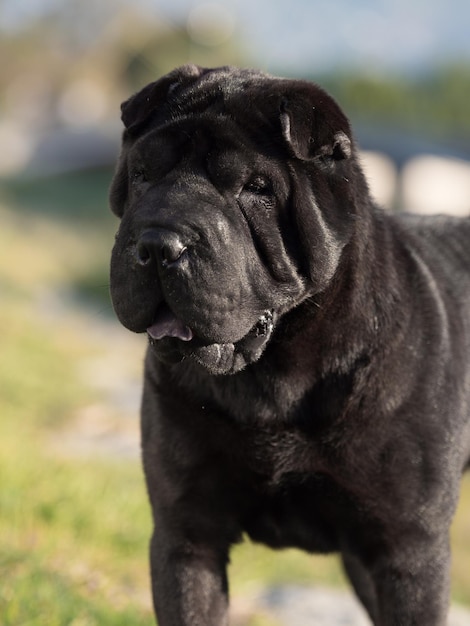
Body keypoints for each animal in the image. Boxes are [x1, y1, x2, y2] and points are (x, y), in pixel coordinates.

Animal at [108, 66, 470, 620]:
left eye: (255, 188)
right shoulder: (186, 532)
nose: (158, 242)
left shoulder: (407, 550)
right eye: (143, 173)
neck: (273, 379)